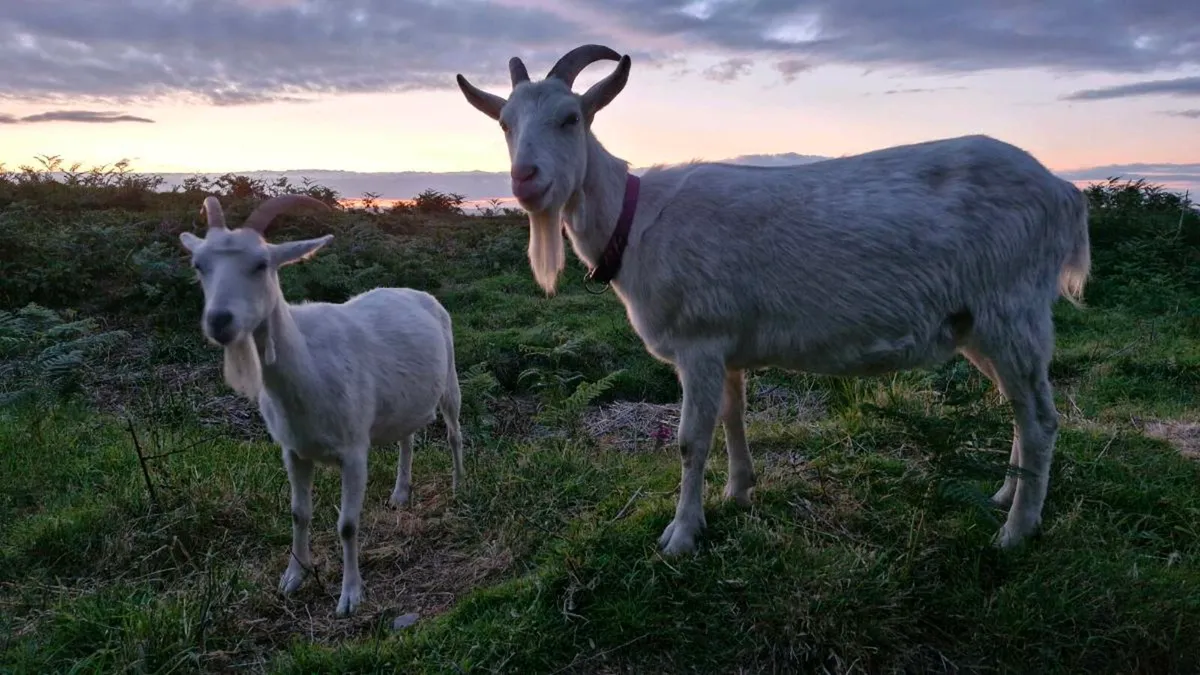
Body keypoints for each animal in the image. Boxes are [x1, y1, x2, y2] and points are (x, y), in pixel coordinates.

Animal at [178, 195, 466, 615]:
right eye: (199, 266)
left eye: (262, 264)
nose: (219, 321)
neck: (308, 368)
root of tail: (416, 292)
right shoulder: (293, 450)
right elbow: (299, 513)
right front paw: (293, 577)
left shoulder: (354, 450)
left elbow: (347, 525)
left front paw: (350, 596)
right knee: (407, 438)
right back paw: (400, 494)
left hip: (450, 380)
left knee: (454, 432)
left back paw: (460, 486)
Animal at [455, 45, 1091, 556]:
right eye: (505, 124)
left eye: (571, 118)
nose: (525, 179)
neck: (635, 222)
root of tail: (1064, 193)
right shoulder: (725, 343)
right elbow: (733, 417)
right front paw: (738, 491)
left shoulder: (698, 341)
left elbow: (689, 442)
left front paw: (681, 535)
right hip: (976, 322)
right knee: (1020, 406)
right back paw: (1005, 493)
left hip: (1010, 307)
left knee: (1041, 417)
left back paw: (1016, 532)